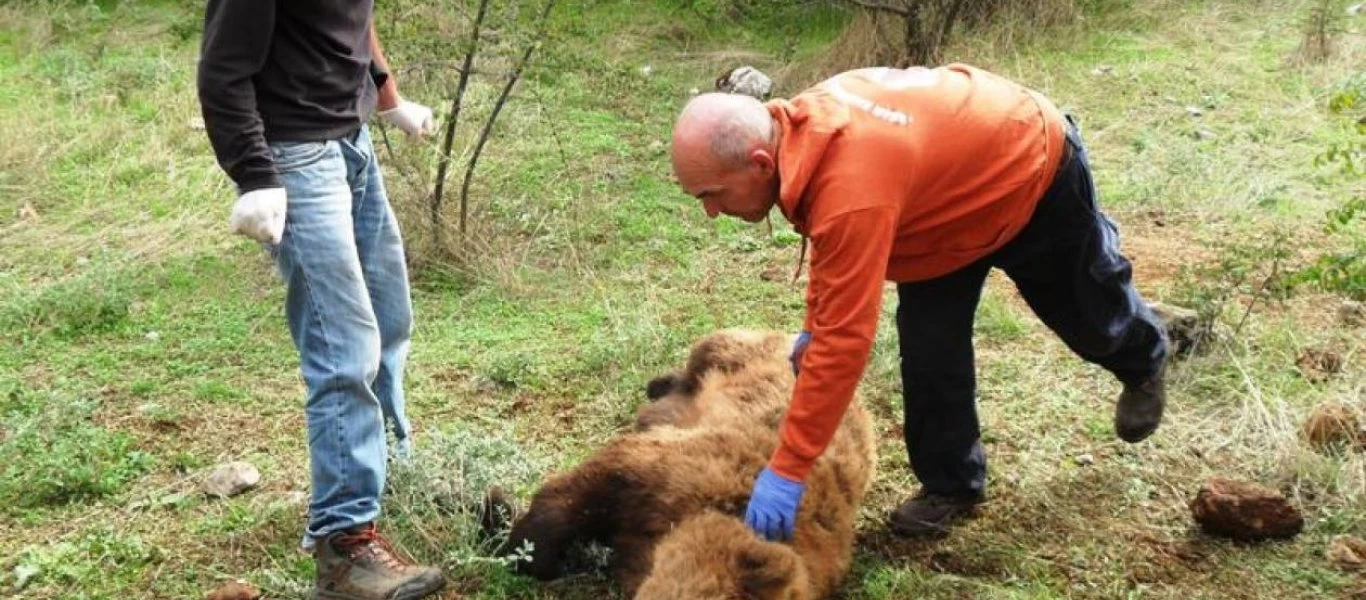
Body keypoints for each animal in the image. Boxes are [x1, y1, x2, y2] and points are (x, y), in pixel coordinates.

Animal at [499, 329, 874, 600]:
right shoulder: (674, 470)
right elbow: (583, 487)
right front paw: (516, 539)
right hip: (739, 351)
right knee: (706, 352)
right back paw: (659, 384)